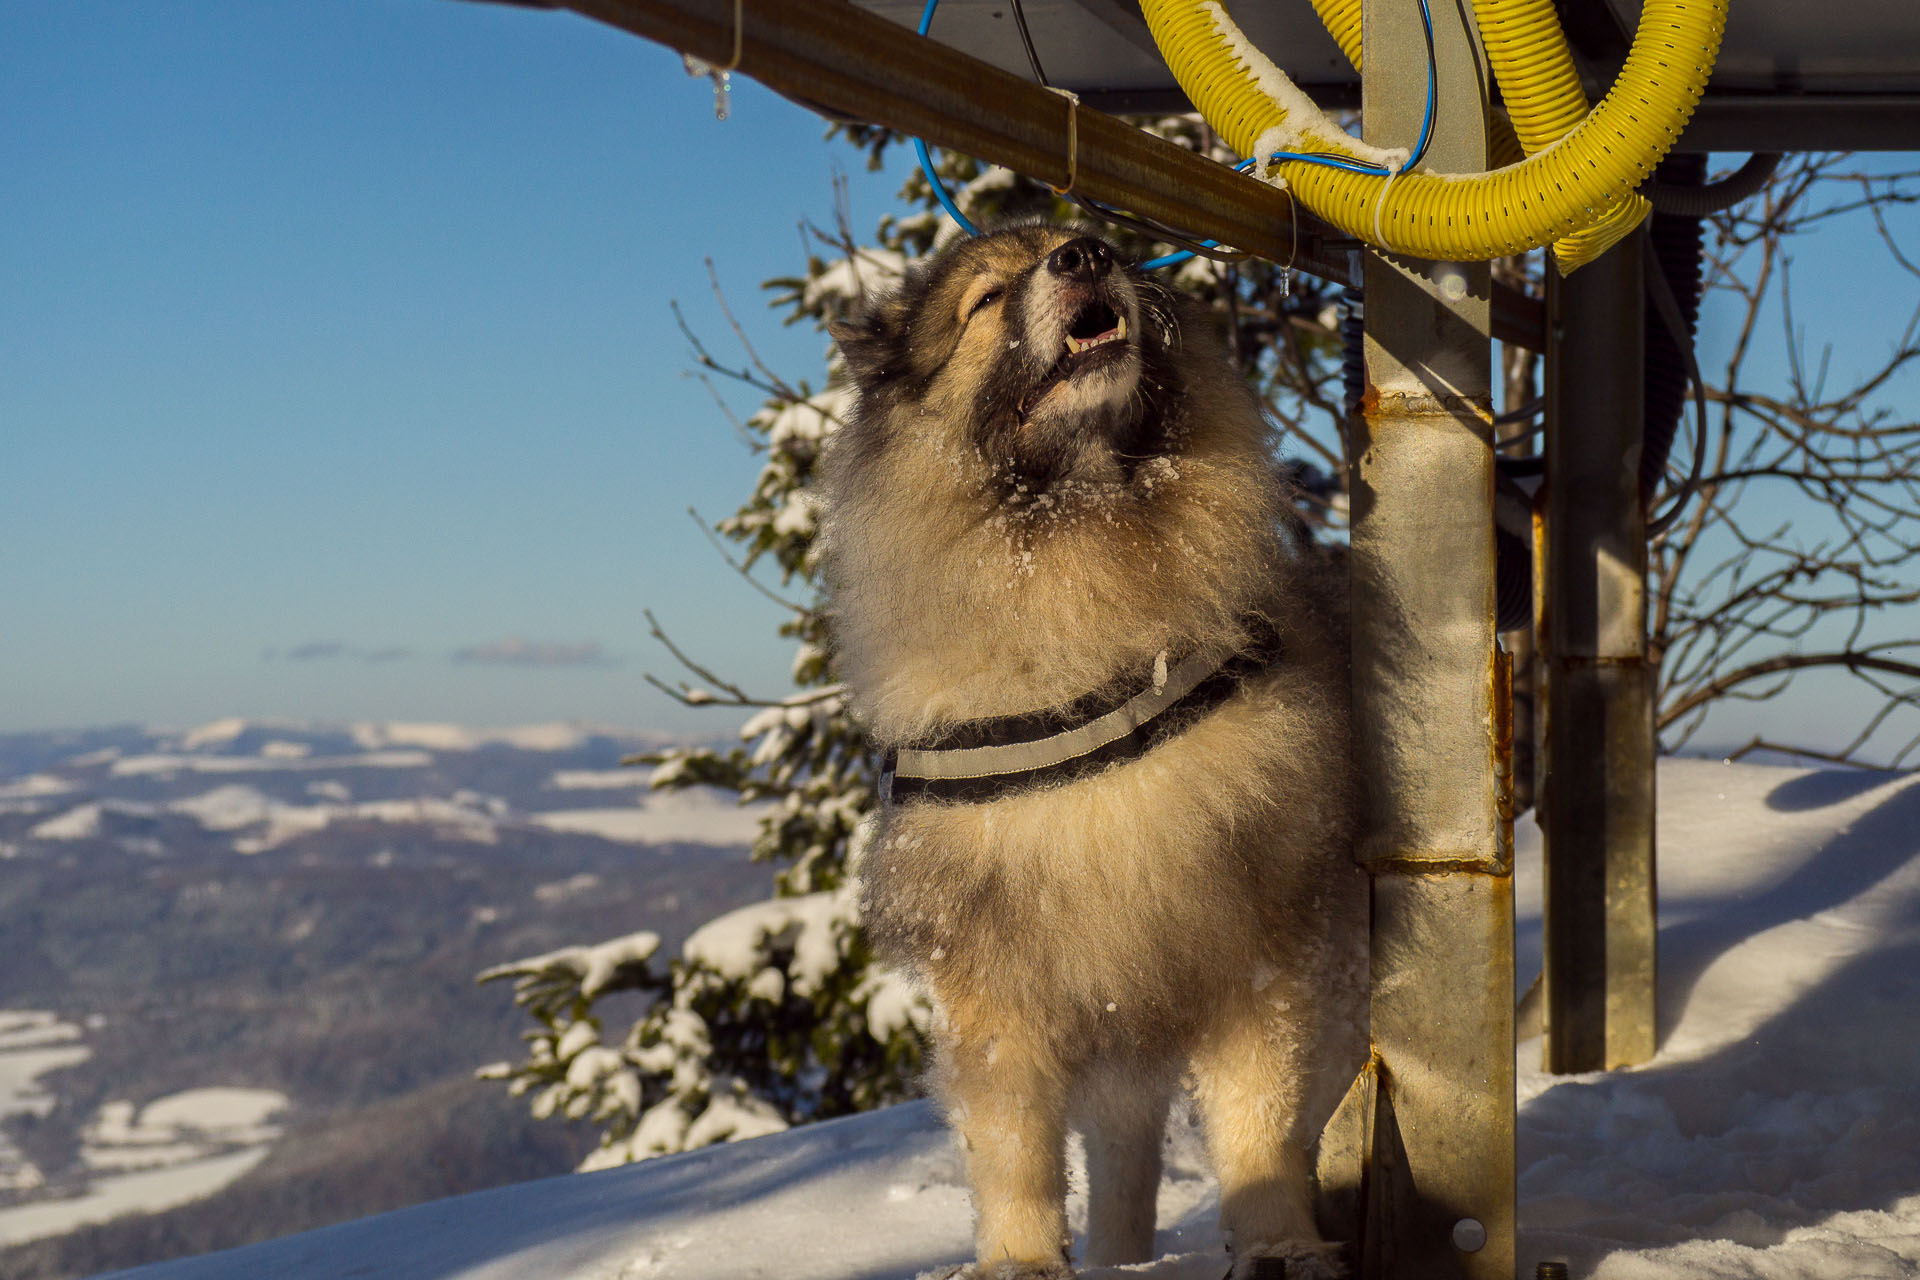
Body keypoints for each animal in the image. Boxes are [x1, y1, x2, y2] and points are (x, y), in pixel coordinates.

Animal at [821, 225, 1367, 1274]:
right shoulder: (996, 980)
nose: (1083, 253)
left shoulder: (1256, 943)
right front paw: (1022, 1259)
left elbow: (1262, 1122)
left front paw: (1278, 1239)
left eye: (1100, 242)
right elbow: (1015, 1148)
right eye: (986, 297)